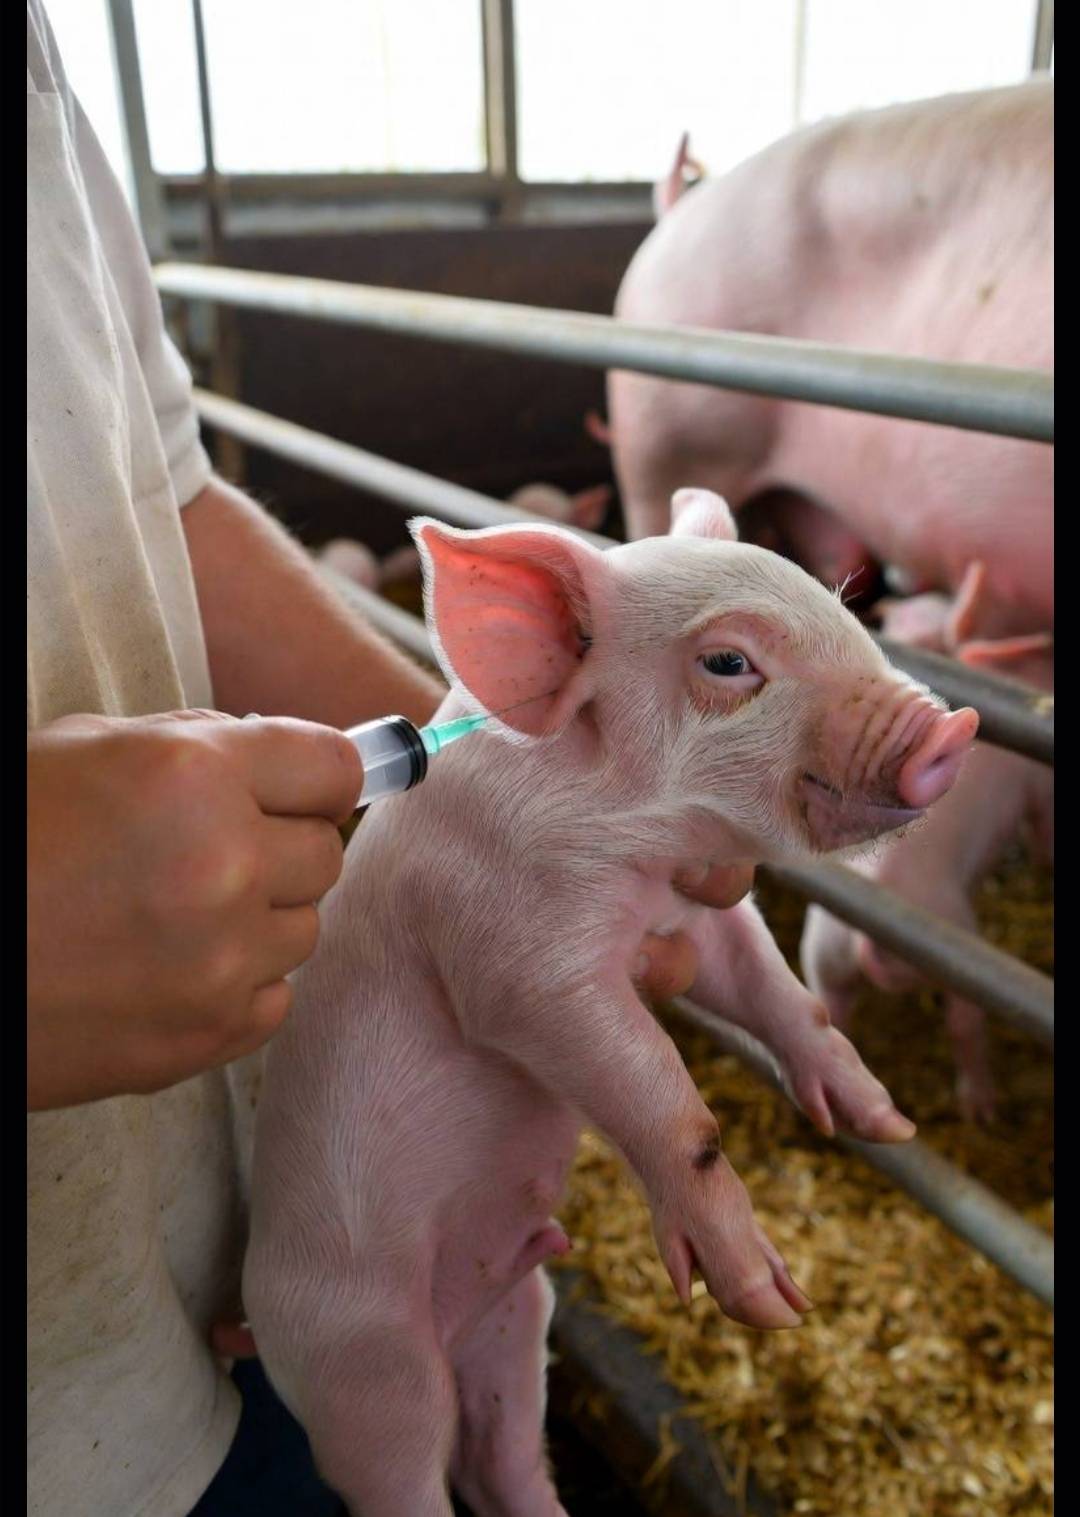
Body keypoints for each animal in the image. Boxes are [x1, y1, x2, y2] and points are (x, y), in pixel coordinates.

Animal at [244, 489, 977, 1516]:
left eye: (841, 607)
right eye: (729, 662)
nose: (955, 730)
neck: (640, 854)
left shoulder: (699, 910)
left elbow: (781, 995)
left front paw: (882, 1121)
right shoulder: (516, 962)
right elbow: (668, 1105)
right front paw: (769, 1301)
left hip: (519, 1316)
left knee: (503, 1452)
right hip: (360, 1362)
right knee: (407, 1463)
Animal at [801, 568, 1052, 1122]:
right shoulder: (1037, 790)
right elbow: (1043, 833)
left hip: (823, 955)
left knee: (829, 1018)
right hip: (961, 953)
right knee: (964, 1026)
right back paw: (982, 1110)